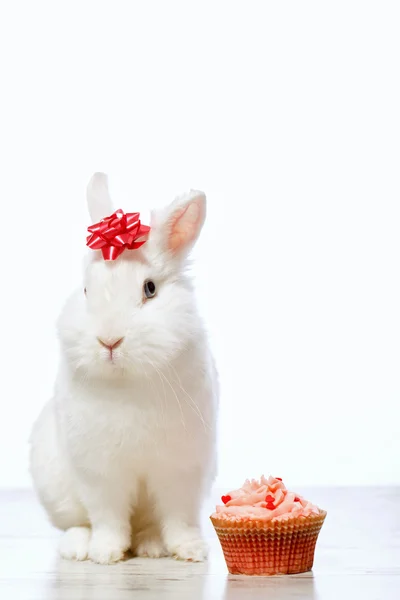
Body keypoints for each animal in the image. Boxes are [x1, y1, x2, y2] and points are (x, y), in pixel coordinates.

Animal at [29, 172, 219, 564]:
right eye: (86, 290)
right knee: (78, 522)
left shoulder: (182, 472)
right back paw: (78, 548)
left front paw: (191, 551)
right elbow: (109, 518)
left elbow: (179, 517)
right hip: (59, 490)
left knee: (149, 524)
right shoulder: (101, 475)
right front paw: (105, 553)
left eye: (150, 289)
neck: (129, 381)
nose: (109, 341)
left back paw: (151, 547)